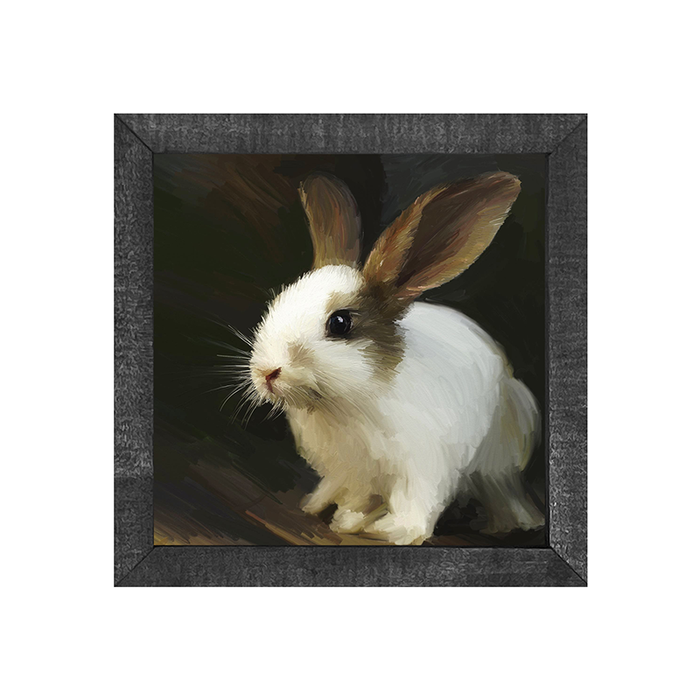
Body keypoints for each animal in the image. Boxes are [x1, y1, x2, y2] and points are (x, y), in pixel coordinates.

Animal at [246, 171, 544, 545]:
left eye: (340, 323)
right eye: (278, 301)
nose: (266, 372)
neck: (346, 403)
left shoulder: (423, 466)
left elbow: (416, 504)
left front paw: (392, 531)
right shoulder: (351, 472)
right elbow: (357, 497)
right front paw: (346, 520)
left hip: (500, 459)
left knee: (502, 490)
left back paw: (512, 524)